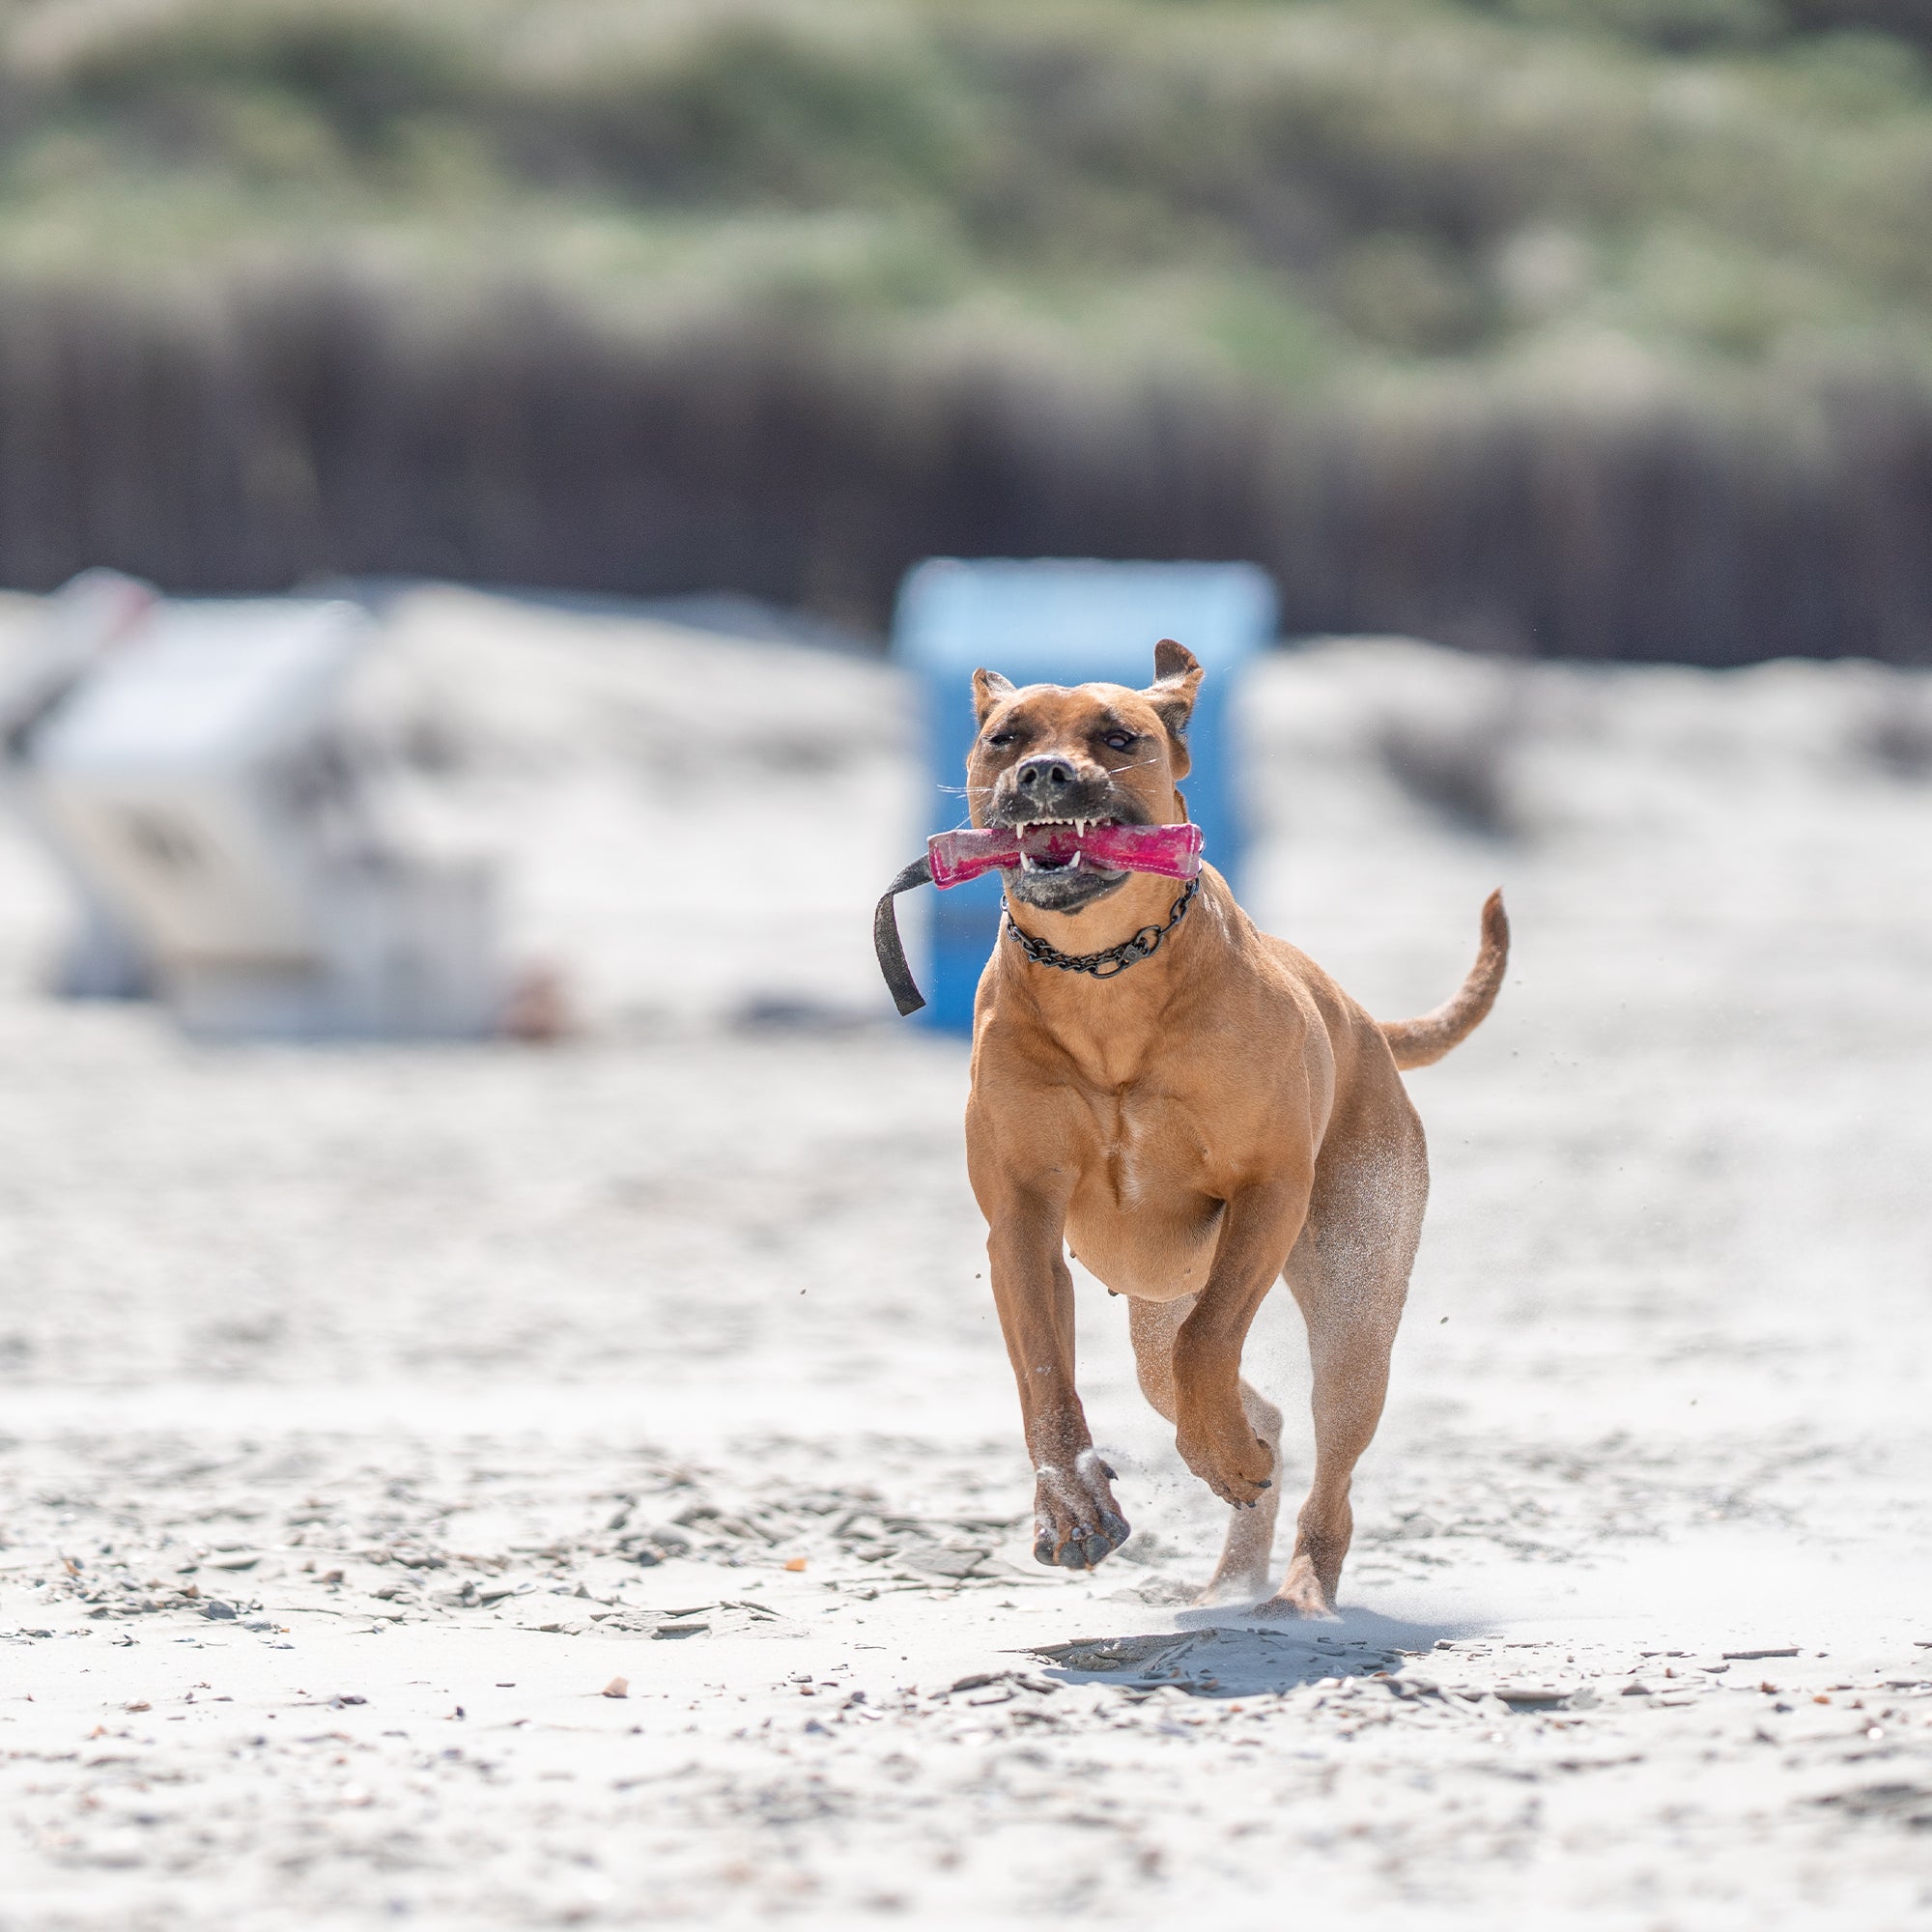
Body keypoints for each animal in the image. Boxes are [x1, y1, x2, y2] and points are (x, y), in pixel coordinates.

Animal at [966, 638, 1507, 1615]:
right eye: (1006, 736)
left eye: (1119, 735)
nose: (1044, 773)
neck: (1105, 976)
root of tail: (1366, 1024)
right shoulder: (1019, 1218)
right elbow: (1045, 1372)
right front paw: (1071, 1508)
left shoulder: (1268, 1192)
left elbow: (1210, 1336)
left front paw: (1218, 1452)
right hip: (1155, 1304)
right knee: (1240, 1404)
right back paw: (1231, 1568)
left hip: (1356, 1299)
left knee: (1323, 1447)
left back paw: (1298, 1589)